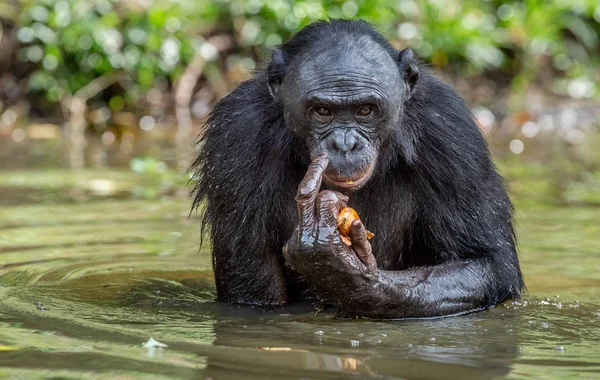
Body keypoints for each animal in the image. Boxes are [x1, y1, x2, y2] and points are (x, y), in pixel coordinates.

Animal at [191, 18, 520, 320]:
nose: (345, 144)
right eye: (323, 111)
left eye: (365, 110)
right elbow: (253, 292)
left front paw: (341, 270)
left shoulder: (452, 130)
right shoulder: (234, 134)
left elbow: (484, 262)